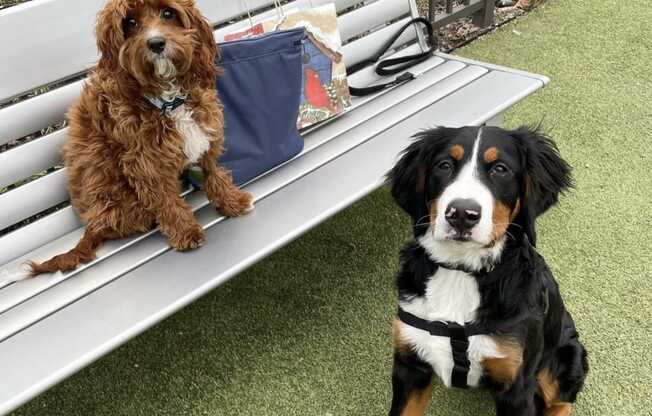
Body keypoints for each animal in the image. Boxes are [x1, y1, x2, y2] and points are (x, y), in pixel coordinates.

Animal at [31, 1, 255, 278]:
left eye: (168, 13)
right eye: (130, 23)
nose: (156, 43)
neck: (168, 100)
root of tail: (91, 225)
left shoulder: (205, 132)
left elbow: (213, 171)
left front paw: (232, 201)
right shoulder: (144, 162)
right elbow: (164, 199)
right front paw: (185, 232)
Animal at [388, 127, 592, 416]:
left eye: (500, 169)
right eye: (444, 165)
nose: (462, 213)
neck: (460, 272)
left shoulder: (516, 386)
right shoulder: (410, 366)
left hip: (565, 358)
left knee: (561, 402)